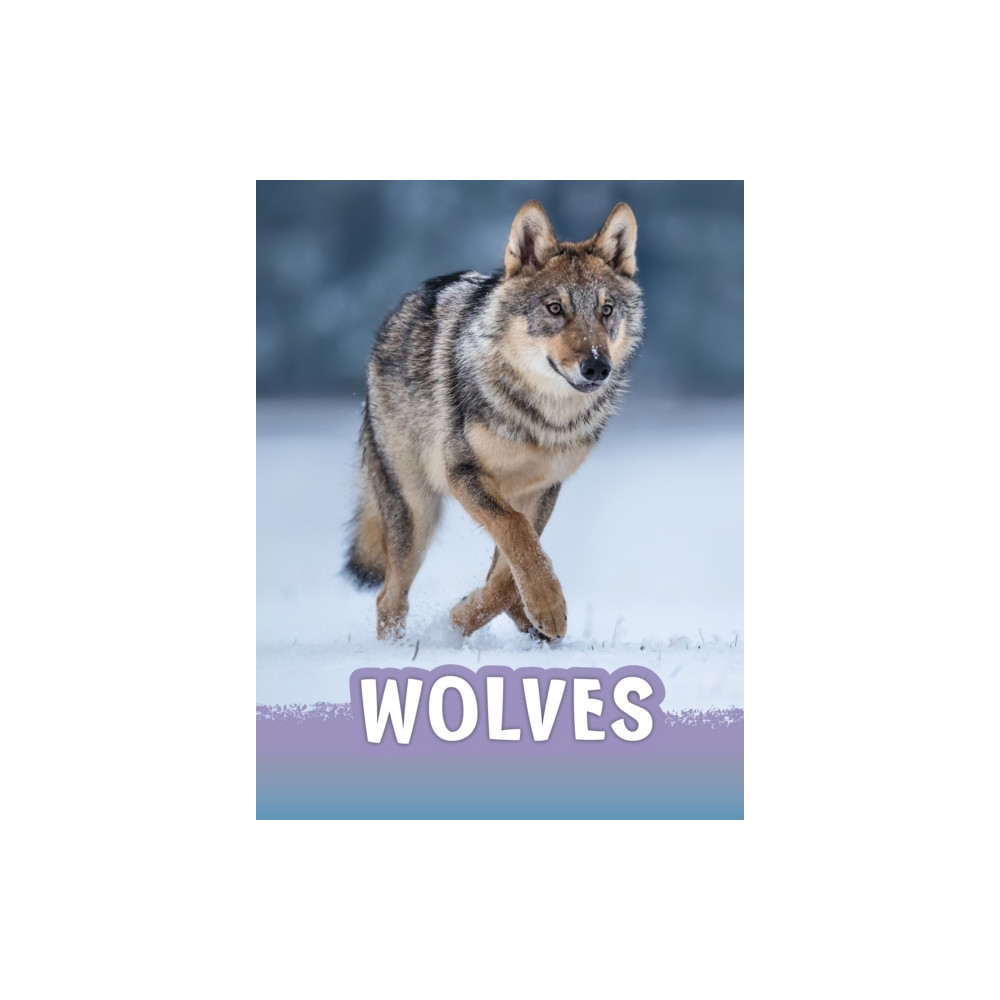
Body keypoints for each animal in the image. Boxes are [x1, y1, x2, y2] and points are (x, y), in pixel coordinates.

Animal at [345, 200, 644, 641]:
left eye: (606, 310)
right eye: (555, 308)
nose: (597, 367)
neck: (542, 419)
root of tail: (398, 312)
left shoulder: (542, 488)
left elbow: (511, 569)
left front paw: (476, 614)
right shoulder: (463, 474)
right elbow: (516, 534)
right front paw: (536, 608)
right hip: (417, 513)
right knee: (388, 598)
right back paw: (394, 650)